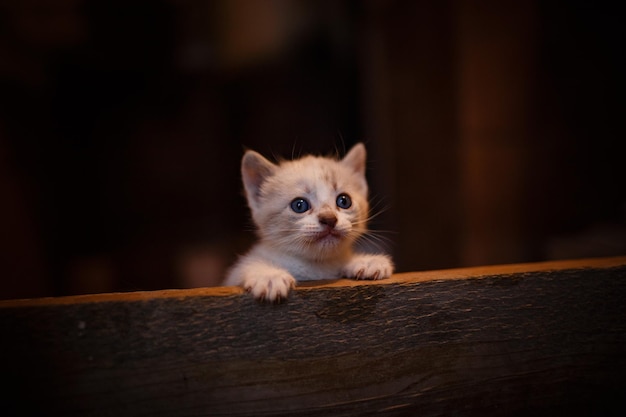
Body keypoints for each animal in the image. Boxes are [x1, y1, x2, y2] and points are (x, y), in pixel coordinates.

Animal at [223, 142, 390, 300]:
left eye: (344, 201)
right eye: (299, 205)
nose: (329, 219)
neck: (316, 267)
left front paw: (364, 262)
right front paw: (269, 276)